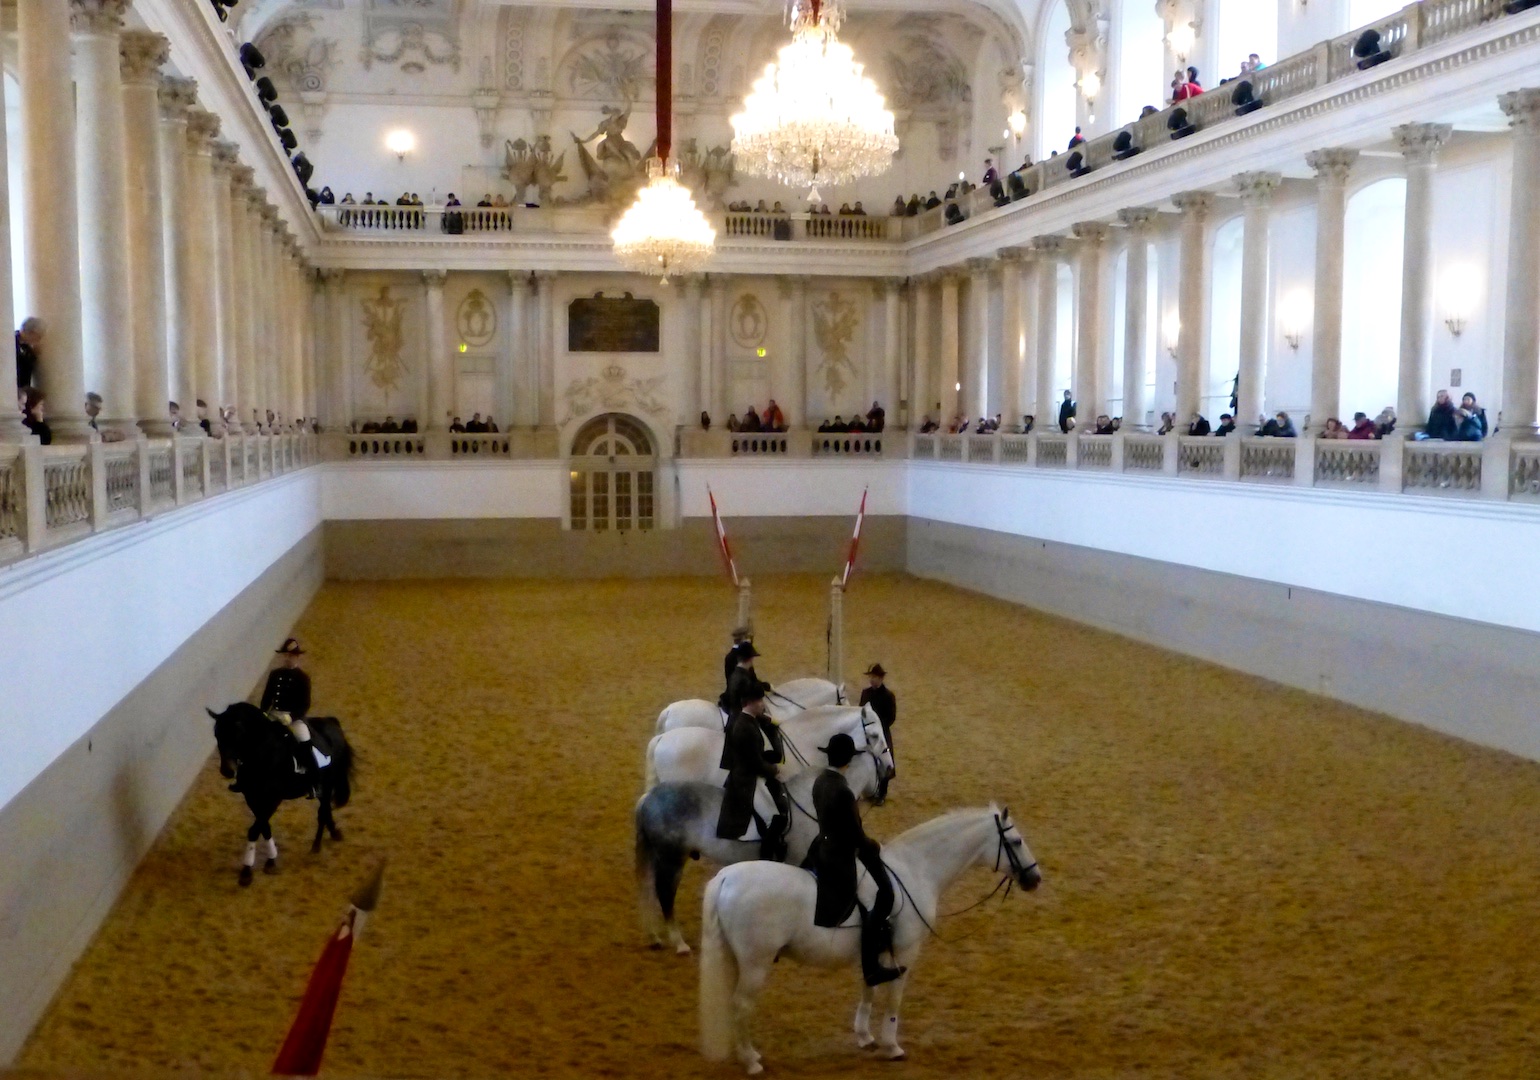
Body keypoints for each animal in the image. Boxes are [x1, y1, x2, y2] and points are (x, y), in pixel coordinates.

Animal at [209, 699, 355, 887]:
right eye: (217, 735)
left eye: (236, 735)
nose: (226, 771)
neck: (263, 754)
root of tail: (333, 724)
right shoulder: (252, 798)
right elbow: (264, 827)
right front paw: (271, 860)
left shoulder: (273, 798)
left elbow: (254, 829)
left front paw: (247, 871)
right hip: (324, 788)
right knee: (326, 810)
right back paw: (334, 833)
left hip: (328, 782)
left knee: (322, 813)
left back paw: (316, 845)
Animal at [634, 745, 880, 955]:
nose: (878, 797)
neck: (807, 801)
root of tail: (649, 797)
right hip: (672, 858)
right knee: (664, 894)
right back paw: (679, 944)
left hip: (657, 856)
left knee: (647, 889)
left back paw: (655, 938)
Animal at [702, 807, 1041, 1072]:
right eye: (1016, 841)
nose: (1035, 879)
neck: (915, 870)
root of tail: (726, 878)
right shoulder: (904, 952)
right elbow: (893, 998)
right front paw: (892, 1047)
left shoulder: (875, 952)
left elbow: (869, 987)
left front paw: (865, 1036)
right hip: (756, 964)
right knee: (741, 1005)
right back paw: (751, 1061)